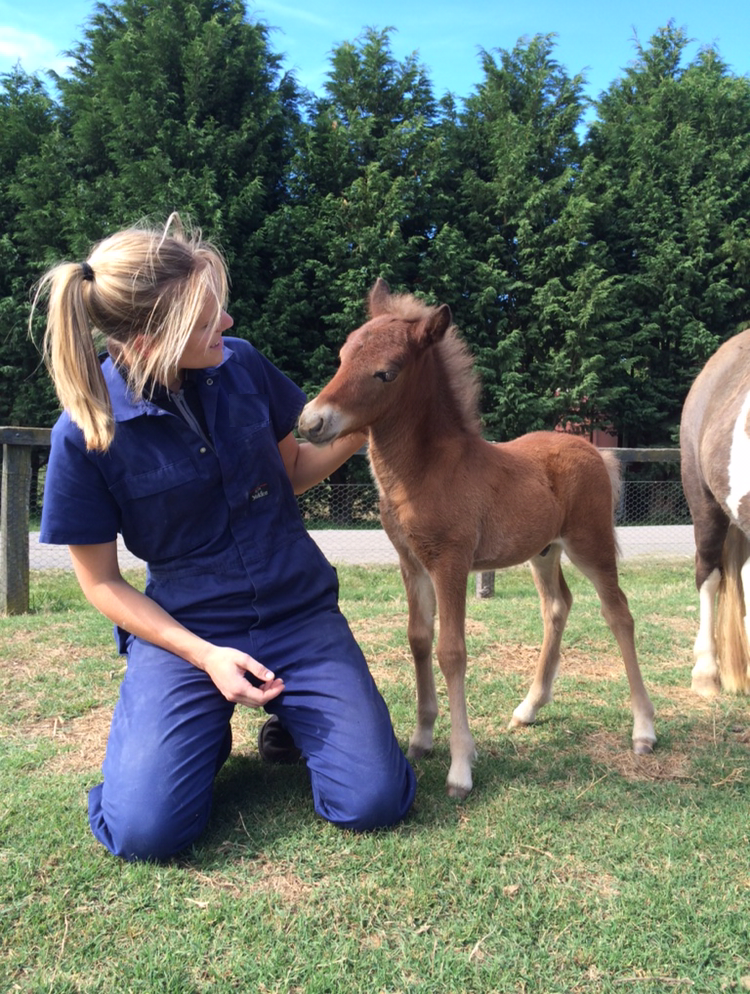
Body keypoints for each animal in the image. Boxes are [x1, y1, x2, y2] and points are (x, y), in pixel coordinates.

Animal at [298, 279, 656, 798]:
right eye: (343, 355)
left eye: (386, 373)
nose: (311, 423)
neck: (425, 471)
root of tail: (592, 448)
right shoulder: (411, 562)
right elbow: (419, 639)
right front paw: (421, 738)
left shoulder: (451, 561)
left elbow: (452, 651)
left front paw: (460, 767)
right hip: (543, 552)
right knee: (557, 606)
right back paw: (529, 708)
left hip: (590, 543)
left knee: (618, 613)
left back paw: (643, 729)